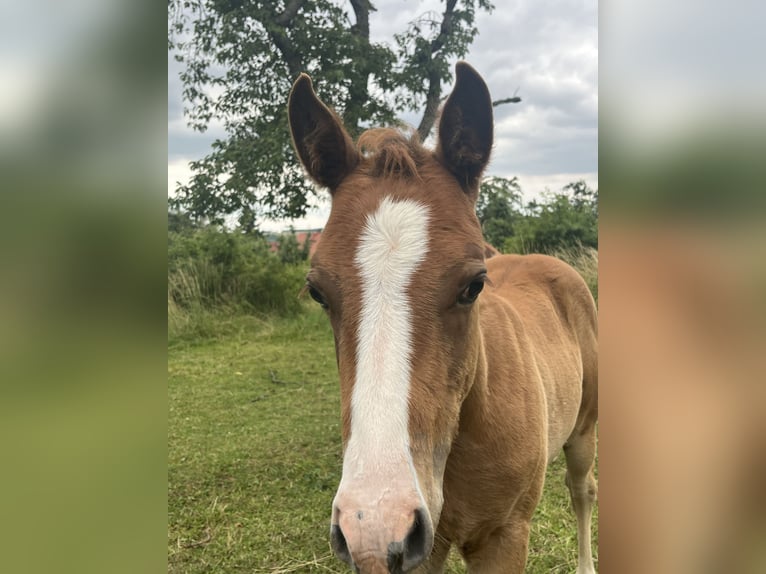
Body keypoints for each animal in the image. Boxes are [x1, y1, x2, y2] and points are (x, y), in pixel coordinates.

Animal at [287, 62, 598, 574]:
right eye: (317, 292)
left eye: (473, 285)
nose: (375, 523)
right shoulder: (424, 549)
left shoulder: (504, 538)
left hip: (583, 432)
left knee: (582, 492)